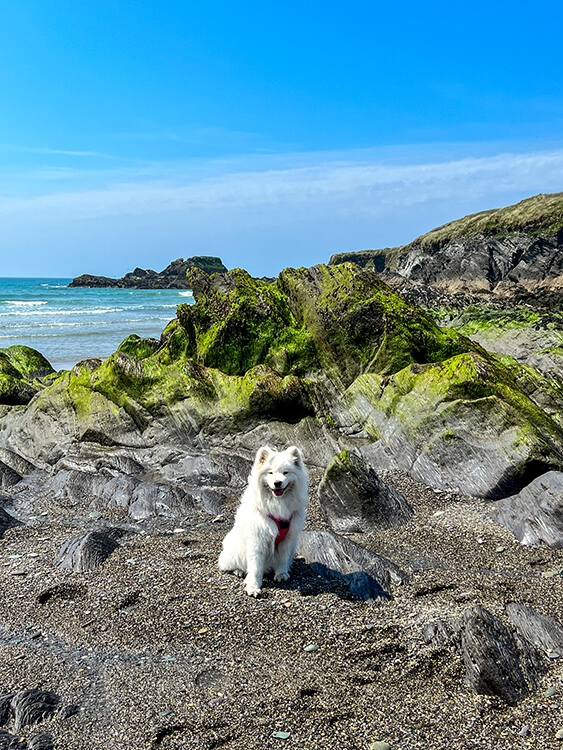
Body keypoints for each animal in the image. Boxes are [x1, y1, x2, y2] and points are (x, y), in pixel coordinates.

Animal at [219, 446, 308, 600]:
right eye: (270, 472)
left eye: (285, 472)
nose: (277, 483)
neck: (277, 504)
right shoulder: (257, 541)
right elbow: (255, 568)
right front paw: (253, 587)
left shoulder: (287, 539)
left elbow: (283, 559)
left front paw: (281, 574)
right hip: (234, 550)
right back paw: (239, 571)